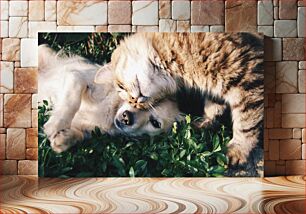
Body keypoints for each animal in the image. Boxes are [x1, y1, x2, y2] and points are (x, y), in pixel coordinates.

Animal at [38, 45, 182, 153]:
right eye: (133, 99)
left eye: (155, 123)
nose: (127, 117)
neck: (111, 110)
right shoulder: (75, 76)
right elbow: (72, 99)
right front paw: (56, 125)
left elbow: (80, 135)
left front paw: (64, 138)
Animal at [96, 32, 266, 165]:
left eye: (121, 86)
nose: (135, 101)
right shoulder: (217, 85)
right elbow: (213, 107)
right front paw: (204, 122)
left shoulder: (247, 75)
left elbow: (246, 123)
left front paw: (238, 149)